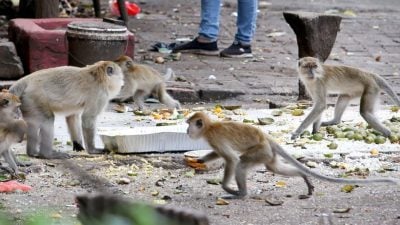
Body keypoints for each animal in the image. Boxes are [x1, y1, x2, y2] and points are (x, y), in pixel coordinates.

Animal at [186, 111, 398, 198]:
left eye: (190, 124)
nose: (187, 131)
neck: (209, 127)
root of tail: (267, 137)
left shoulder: (214, 137)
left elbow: (231, 159)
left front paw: (226, 187)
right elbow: (218, 155)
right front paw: (199, 160)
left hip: (260, 150)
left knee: (242, 164)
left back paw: (241, 194)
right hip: (267, 153)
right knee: (273, 167)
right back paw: (304, 177)